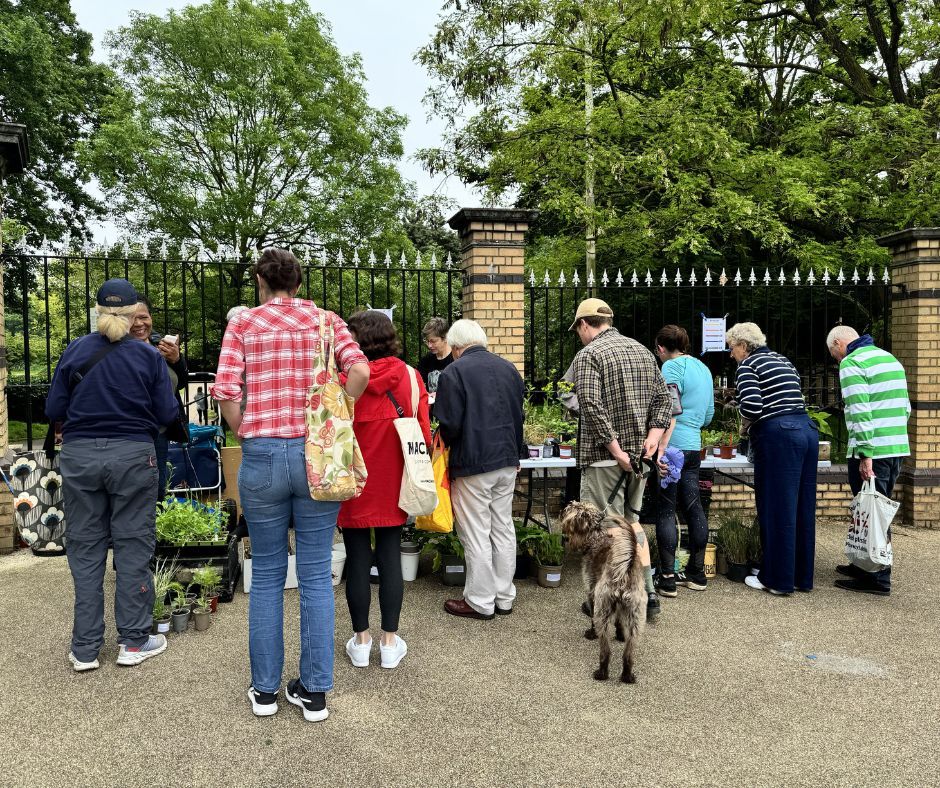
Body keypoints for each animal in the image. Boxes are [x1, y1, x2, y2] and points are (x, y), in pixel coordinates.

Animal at [560, 504, 648, 684]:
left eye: (569, 509)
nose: (561, 512)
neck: (596, 536)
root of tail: (624, 572)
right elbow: (620, 622)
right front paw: (620, 635)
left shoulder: (591, 591)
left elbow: (592, 618)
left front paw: (591, 633)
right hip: (636, 618)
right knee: (628, 655)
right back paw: (627, 676)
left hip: (603, 612)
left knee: (605, 651)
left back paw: (601, 673)